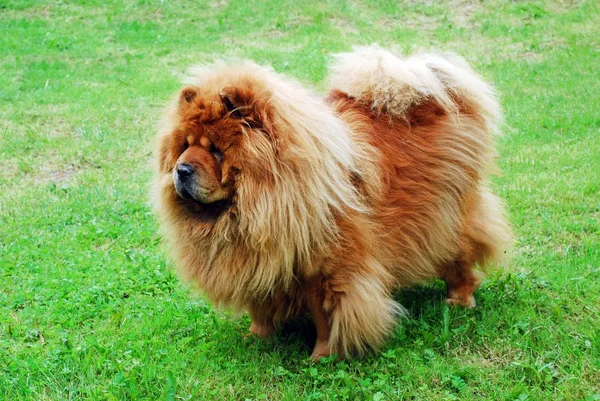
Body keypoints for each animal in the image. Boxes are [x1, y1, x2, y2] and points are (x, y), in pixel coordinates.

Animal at [152, 45, 512, 358]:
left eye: (216, 151)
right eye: (185, 146)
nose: (182, 169)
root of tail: (442, 99)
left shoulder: (329, 268)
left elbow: (327, 316)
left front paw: (322, 356)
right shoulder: (260, 260)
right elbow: (261, 307)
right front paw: (257, 338)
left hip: (446, 219)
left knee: (461, 259)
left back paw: (459, 300)